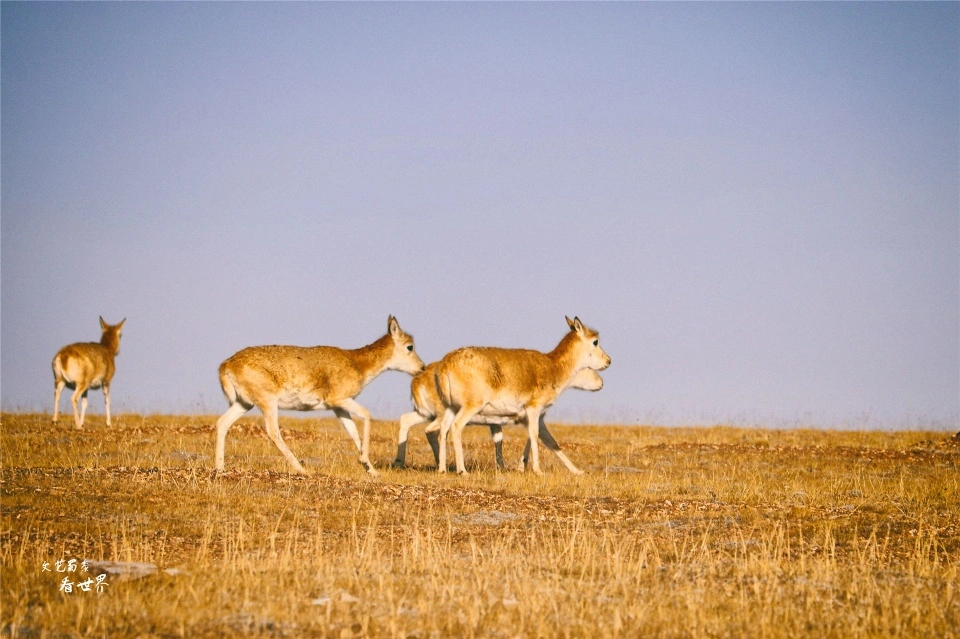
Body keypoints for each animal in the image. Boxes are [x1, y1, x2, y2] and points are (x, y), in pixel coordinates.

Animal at [218, 318, 428, 478]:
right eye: (409, 346)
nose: (422, 367)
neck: (356, 362)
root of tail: (227, 364)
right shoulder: (340, 400)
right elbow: (367, 415)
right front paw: (366, 463)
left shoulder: (339, 408)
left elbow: (353, 432)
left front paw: (372, 470)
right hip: (268, 403)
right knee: (273, 432)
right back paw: (302, 469)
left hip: (244, 404)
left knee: (222, 423)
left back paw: (219, 468)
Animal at [394, 362, 604, 472]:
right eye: (588, 368)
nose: (601, 383)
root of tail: (417, 380)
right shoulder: (534, 418)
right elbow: (547, 441)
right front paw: (578, 471)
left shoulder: (515, 421)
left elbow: (510, 440)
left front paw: (513, 466)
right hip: (438, 415)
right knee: (435, 431)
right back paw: (444, 465)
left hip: (424, 414)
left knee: (407, 420)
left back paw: (402, 462)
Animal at [438, 318, 612, 476]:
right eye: (595, 341)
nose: (608, 361)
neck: (553, 366)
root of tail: (446, 363)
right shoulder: (533, 410)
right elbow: (534, 436)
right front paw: (538, 471)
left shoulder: (537, 418)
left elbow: (551, 442)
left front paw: (577, 471)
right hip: (469, 408)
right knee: (456, 427)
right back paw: (462, 471)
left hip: (451, 408)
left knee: (443, 430)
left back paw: (442, 469)